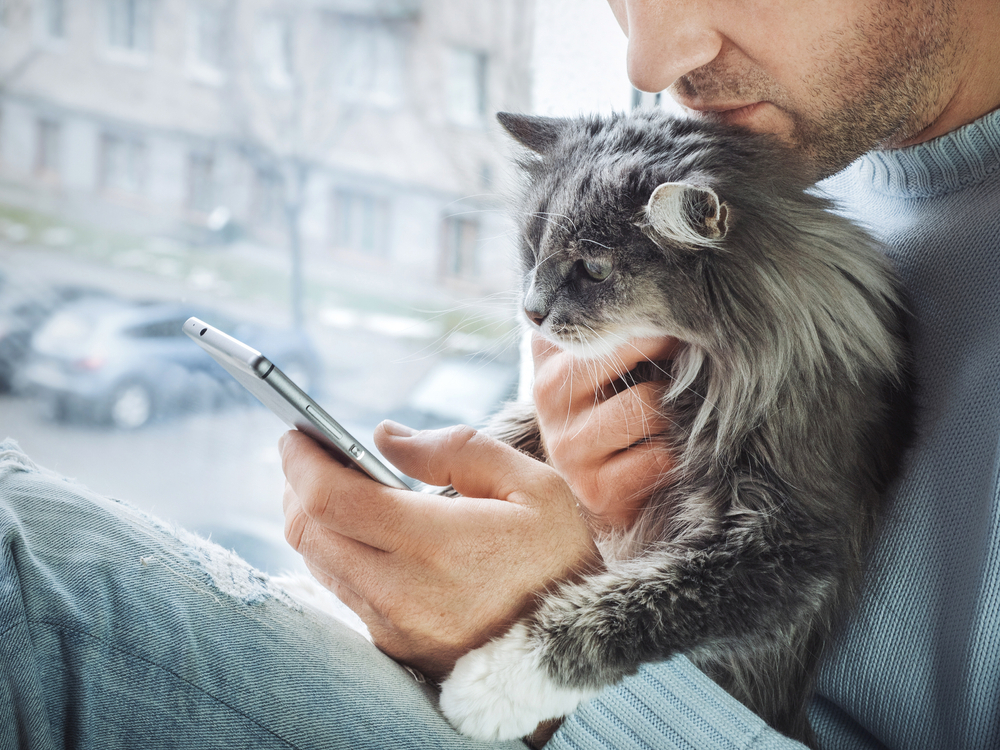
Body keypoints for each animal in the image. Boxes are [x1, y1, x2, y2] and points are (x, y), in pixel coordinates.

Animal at [438, 108, 916, 748]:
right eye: (531, 250)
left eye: (592, 269)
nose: (531, 312)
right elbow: (509, 429)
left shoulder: (786, 547)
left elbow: (627, 609)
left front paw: (494, 683)